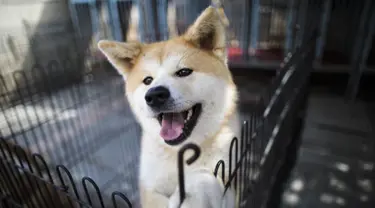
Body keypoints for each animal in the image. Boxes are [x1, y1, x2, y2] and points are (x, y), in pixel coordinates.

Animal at [97, 6, 241, 208]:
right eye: (148, 80)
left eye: (184, 72)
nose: (155, 95)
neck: (180, 152)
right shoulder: (149, 190)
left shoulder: (231, 181)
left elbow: (205, 176)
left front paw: (192, 192)